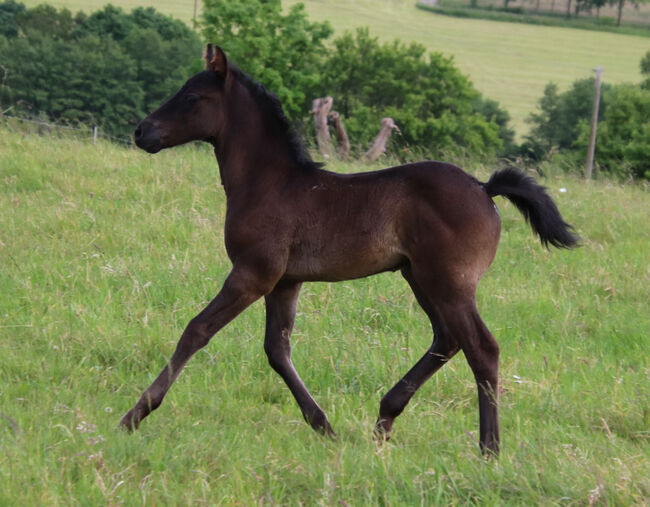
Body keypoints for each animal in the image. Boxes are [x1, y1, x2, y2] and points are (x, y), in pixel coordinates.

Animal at [119, 44, 576, 456]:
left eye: (193, 97)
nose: (142, 131)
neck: (269, 183)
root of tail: (484, 188)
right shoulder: (286, 281)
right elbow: (277, 351)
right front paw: (323, 426)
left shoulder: (253, 273)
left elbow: (196, 330)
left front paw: (135, 414)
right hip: (419, 277)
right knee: (448, 338)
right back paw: (386, 416)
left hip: (448, 281)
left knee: (482, 347)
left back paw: (489, 448)